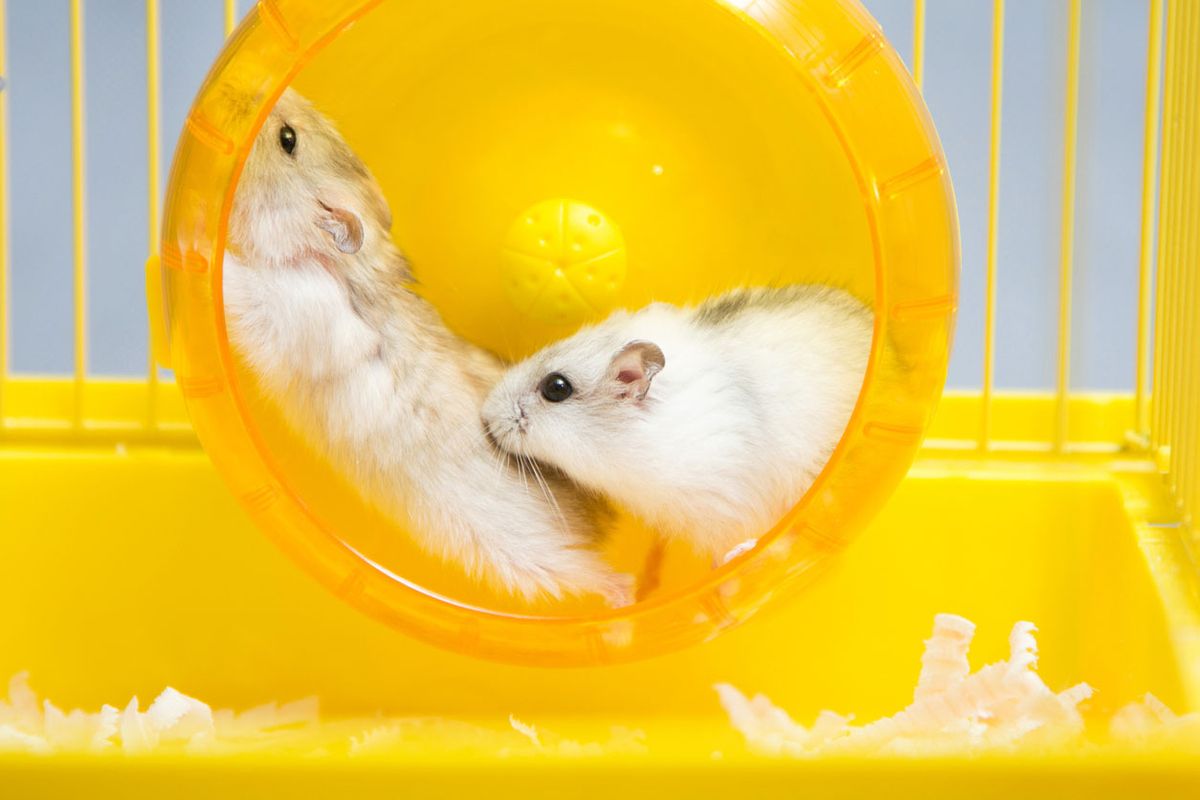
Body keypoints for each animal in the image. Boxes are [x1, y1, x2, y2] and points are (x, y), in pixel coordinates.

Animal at [222, 88, 631, 607]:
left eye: (287, 138)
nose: (269, 94)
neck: (349, 264)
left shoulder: (295, 312)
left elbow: (242, 285)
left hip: (527, 555)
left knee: (591, 574)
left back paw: (626, 599)